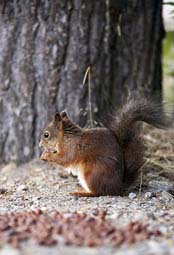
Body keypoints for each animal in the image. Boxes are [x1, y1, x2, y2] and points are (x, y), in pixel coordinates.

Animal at [38, 96, 170, 196]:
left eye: (46, 135)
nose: (39, 146)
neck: (66, 137)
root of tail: (118, 187)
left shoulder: (71, 148)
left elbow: (64, 158)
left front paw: (46, 156)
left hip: (92, 172)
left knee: (99, 192)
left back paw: (82, 193)